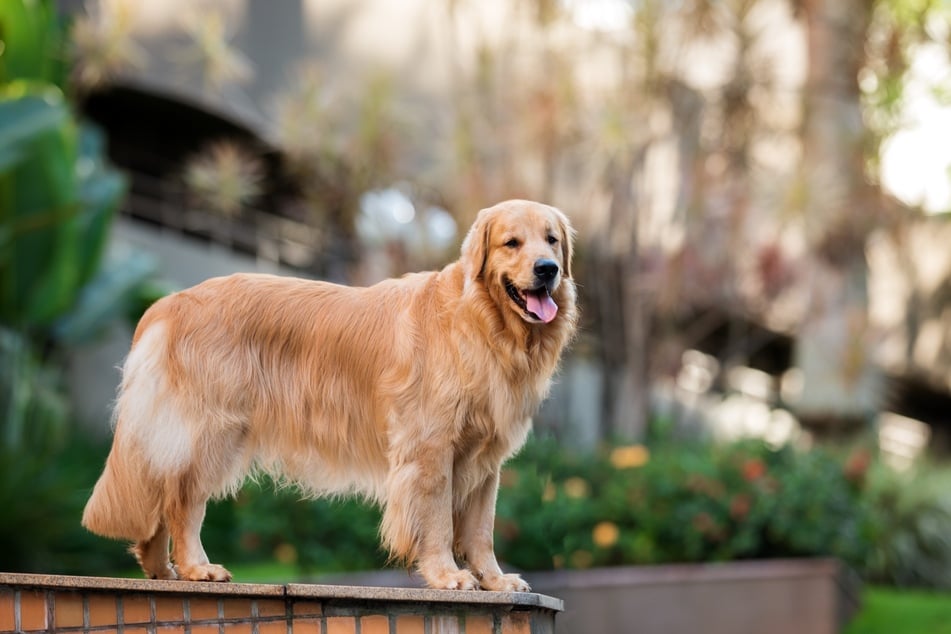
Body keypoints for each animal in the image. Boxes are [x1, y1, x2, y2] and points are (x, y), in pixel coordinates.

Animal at [82, 198, 576, 588]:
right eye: (511, 243)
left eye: (551, 240)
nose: (548, 270)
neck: (481, 322)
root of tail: (169, 302)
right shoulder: (430, 448)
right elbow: (436, 519)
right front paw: (447, 575)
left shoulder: (486, 459)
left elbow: (481, 529)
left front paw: (495, 580)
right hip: (210, 432)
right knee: (181, 501)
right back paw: (195, 567)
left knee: (157, 500)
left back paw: (161, 569)